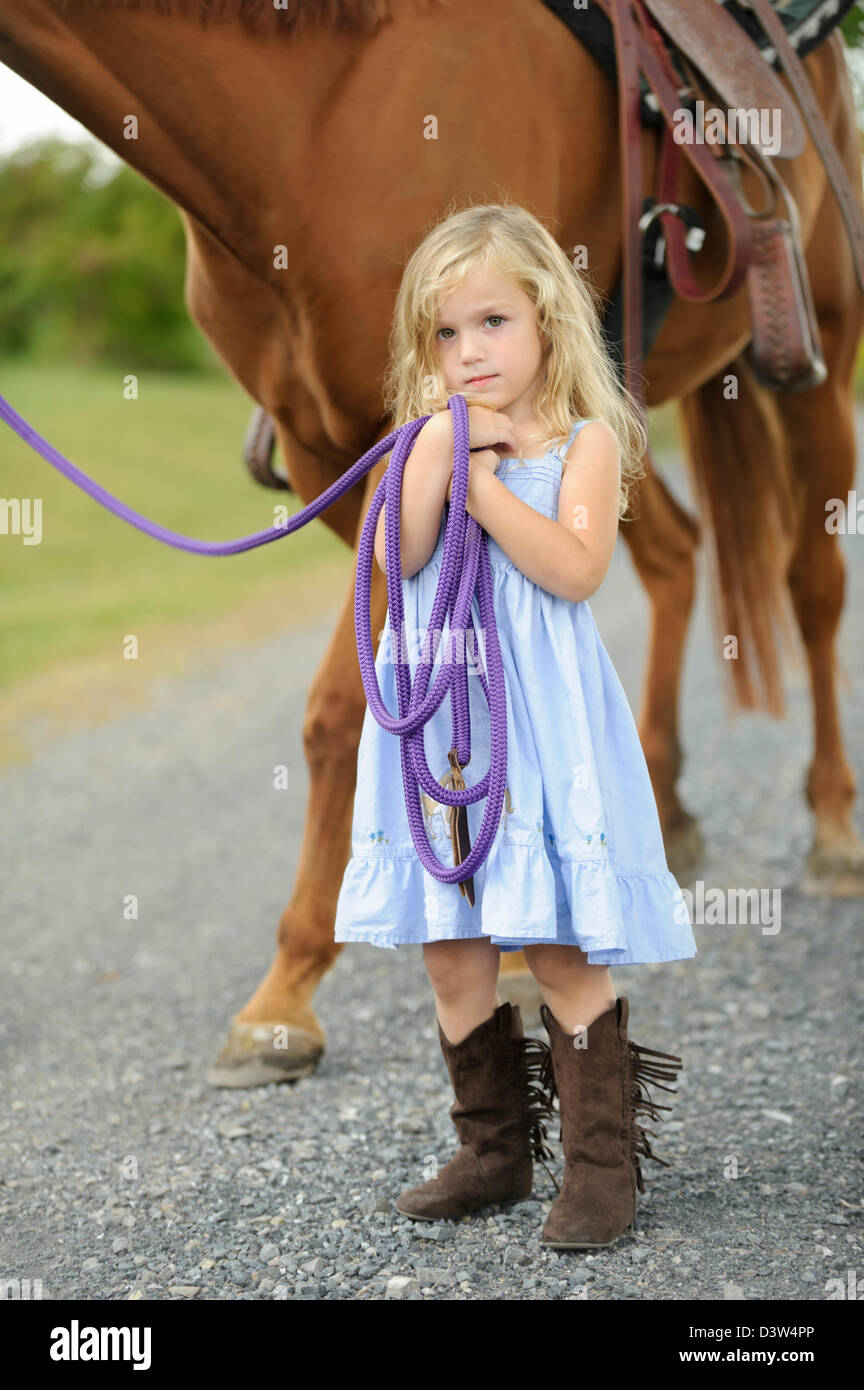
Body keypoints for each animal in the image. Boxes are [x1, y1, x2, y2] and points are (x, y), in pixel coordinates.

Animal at [3, 0, 861, 1084]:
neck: (313, 116)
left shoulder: (400, 435)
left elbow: (346, 706)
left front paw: (321, 981)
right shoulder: (334, 453)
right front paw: (297, 986)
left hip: (818, 363)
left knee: (813, 587)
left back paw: (832, 826)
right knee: (674, 557)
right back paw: (664, 809)